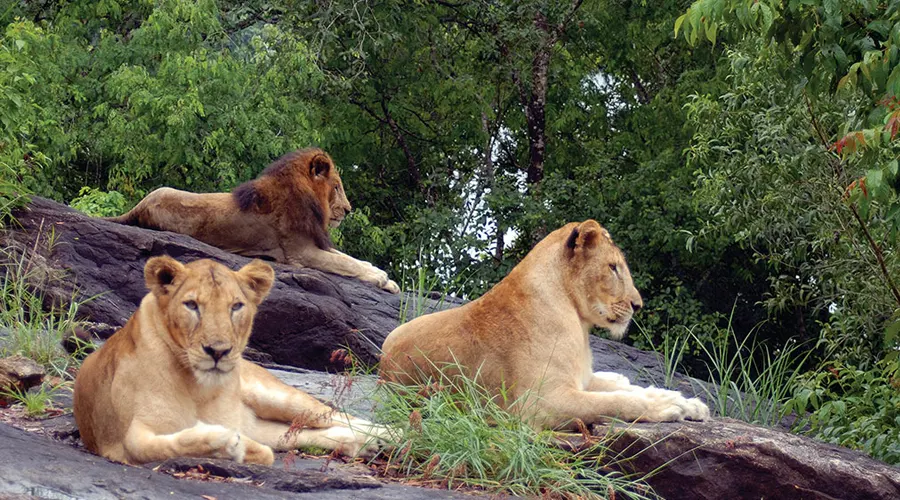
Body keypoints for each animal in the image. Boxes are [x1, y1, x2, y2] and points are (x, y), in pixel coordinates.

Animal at [74, 258, 386, 464]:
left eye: (236, 306)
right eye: (192, 305)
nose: (218, 351)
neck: (198, 387)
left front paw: (232, 445)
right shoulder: (121, 437)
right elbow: (149, 447)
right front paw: (224, 443)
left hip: (275, 396)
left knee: (337, 416)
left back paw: (388, 436)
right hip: (264, 423)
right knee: (304, 432)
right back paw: (365, 445)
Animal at [107, 147, 400, 292]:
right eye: (337, 187)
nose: (349, 210)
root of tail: (139, 206)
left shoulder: (313, 243)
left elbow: (350, 259)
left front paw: (387, 279)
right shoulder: (300, 252)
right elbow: (345, 263)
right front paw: (381, 277)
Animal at [380, 221, 712, 428]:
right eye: (613, 268)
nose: (638, 305)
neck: (578, 322)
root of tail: (383, 365)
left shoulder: (577, 379)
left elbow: (627, 391)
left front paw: (689, 404)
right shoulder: (540, 403)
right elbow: (615, 402)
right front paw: (668, 407)